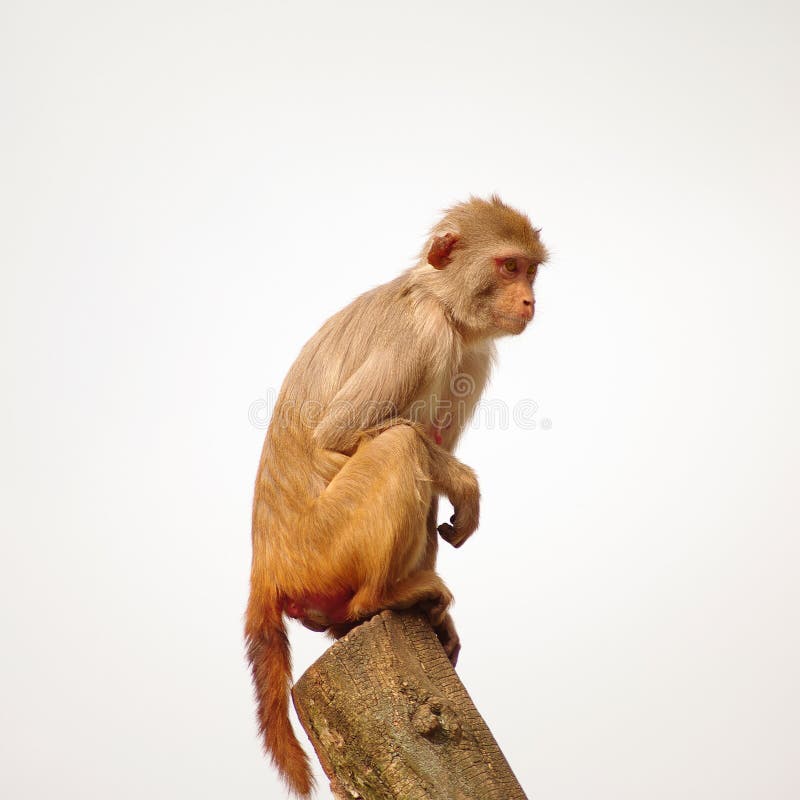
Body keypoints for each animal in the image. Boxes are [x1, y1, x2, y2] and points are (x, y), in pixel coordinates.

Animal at [247, 192, 548, 792]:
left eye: (530, 271)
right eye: (508, 267)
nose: (530, 300)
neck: (442, 302)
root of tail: (268, 564)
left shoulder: (473, 357)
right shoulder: (424, 334)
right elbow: (338, 437)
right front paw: (466, 485)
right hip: (323, 551)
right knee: (402, 446)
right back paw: (379, 599)